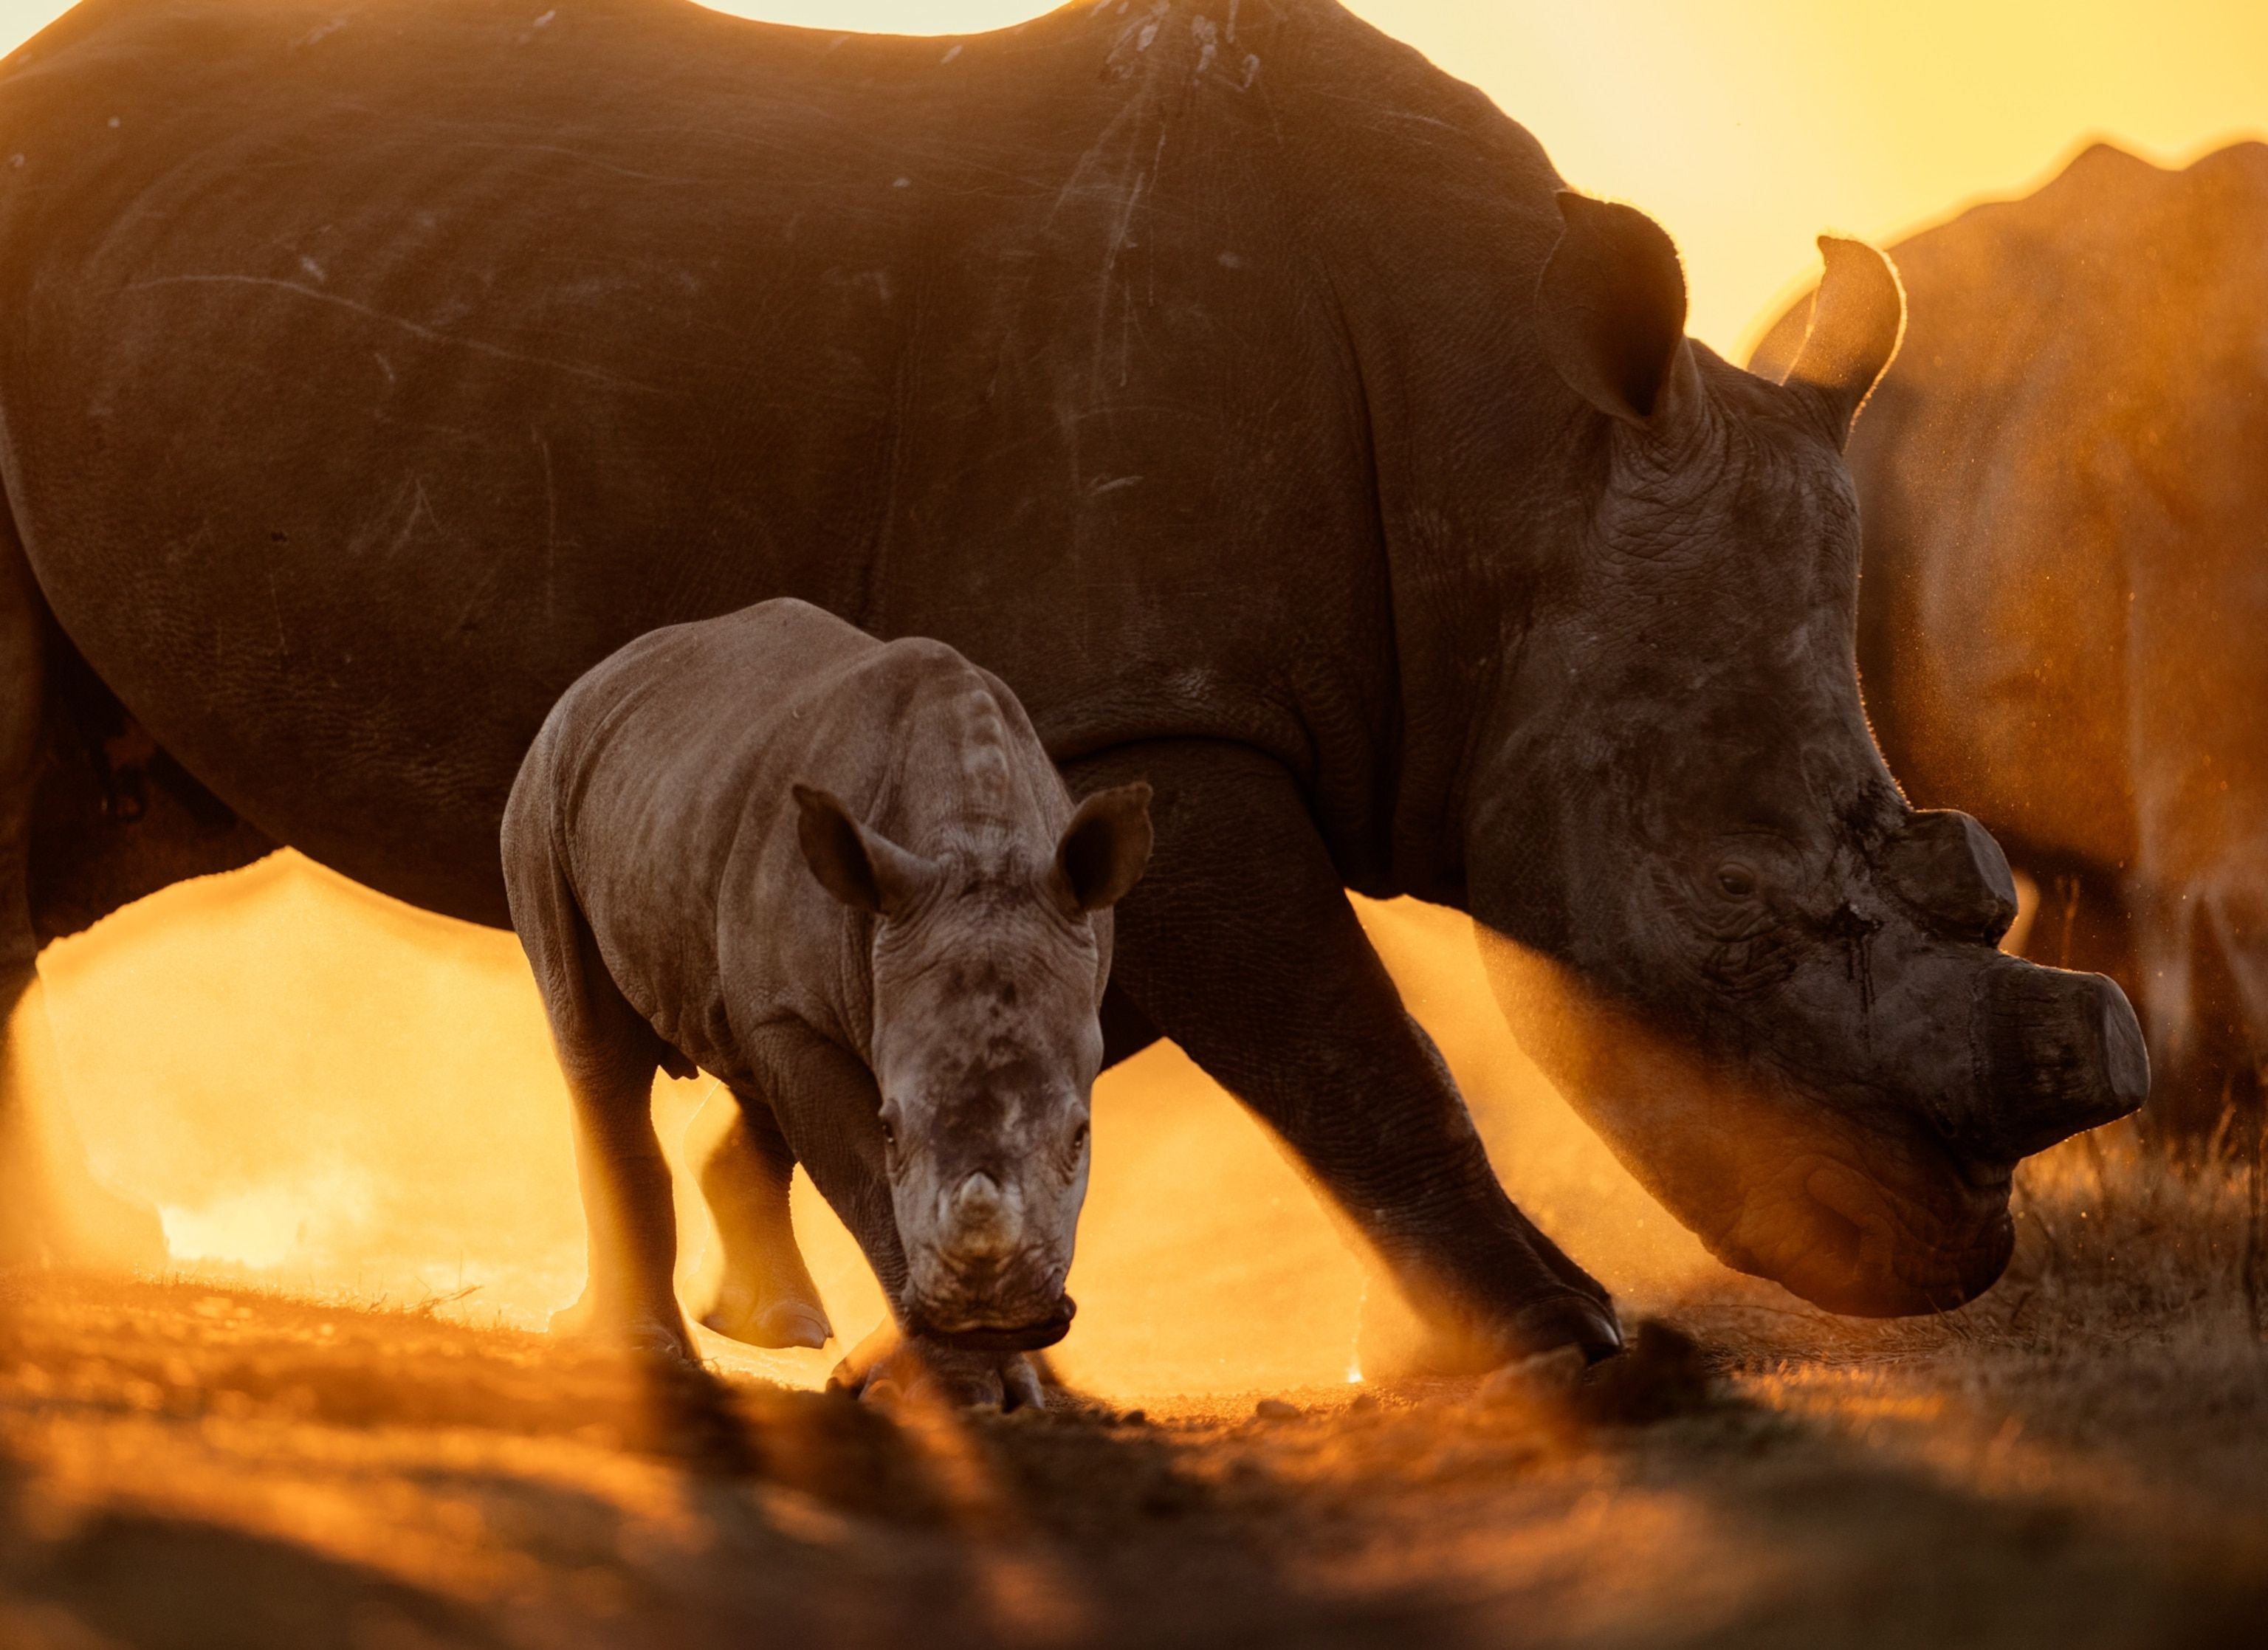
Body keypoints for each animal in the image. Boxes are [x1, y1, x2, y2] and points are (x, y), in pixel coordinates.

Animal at [505, 598, 1148, 1404]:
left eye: (1082, 1136)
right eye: (892, 1129)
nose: (996, 1316)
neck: (976, 845)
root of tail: (599, 675)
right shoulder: (803, 1015)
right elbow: (869, 1184)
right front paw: (964, 1390)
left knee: (742, 1056)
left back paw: (775, 1330)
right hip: (545, 792)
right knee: (597, 1047)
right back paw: (641, 1348)